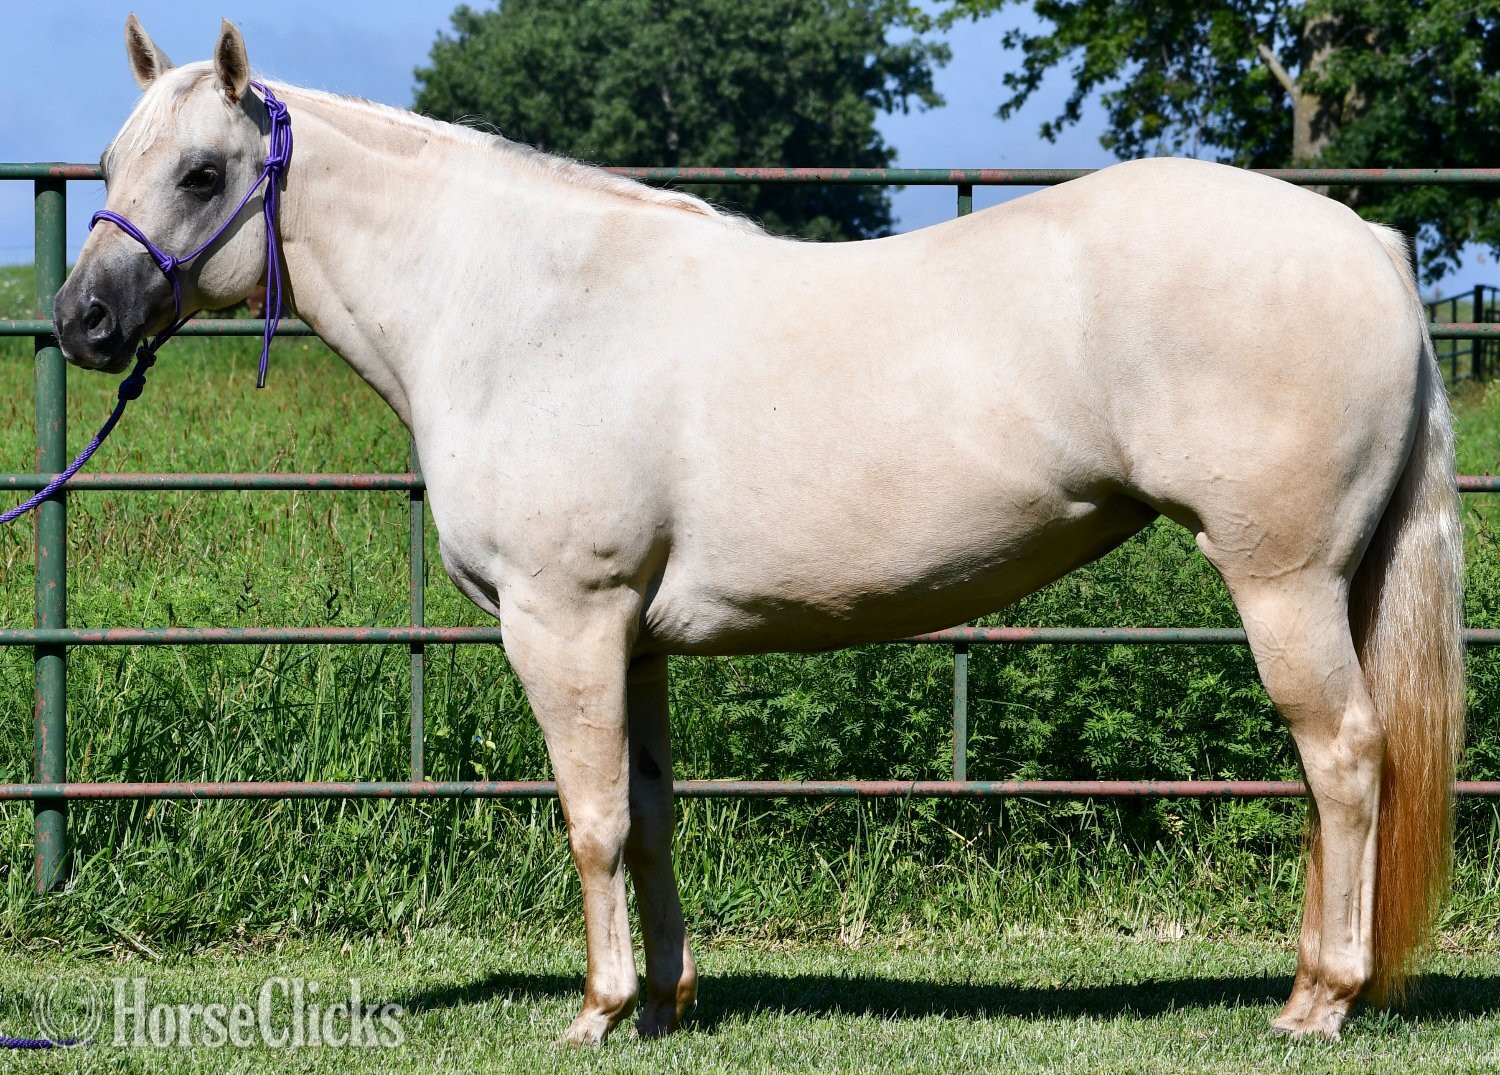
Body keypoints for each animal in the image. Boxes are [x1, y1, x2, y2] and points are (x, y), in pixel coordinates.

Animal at [53, 16, 1464, 1045]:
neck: (516, 304)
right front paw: (669, 999)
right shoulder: (632, 641)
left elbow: (590, 819)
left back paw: (1320, 1002)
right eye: (109, 168)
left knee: (1345, 759)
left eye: (201, 173)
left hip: (1283, 580)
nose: (81, 324)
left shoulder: (562, 622)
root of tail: (1370, 242)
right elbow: (650, 812)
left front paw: (599, 1011)